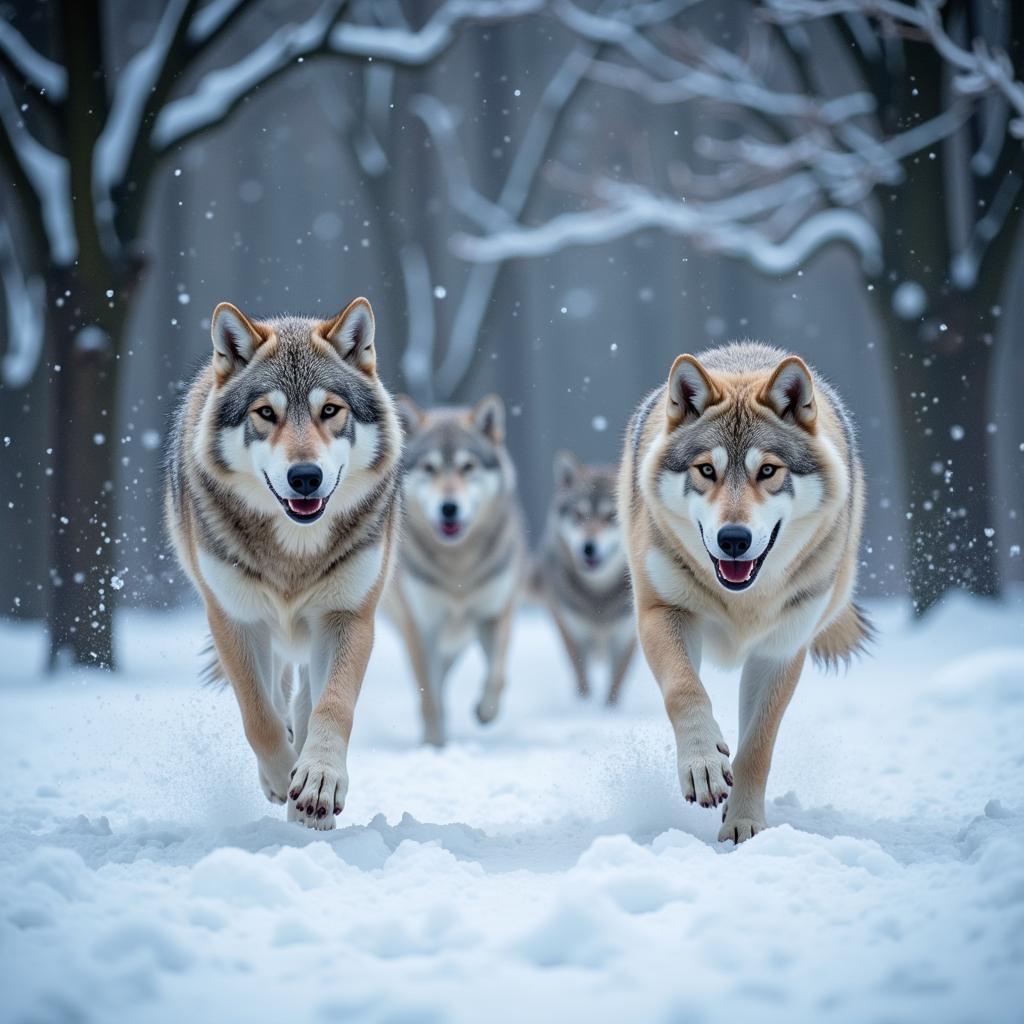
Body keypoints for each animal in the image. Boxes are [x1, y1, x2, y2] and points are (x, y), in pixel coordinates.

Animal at [163, 296, 399, 831]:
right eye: (266, 413)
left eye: (330, 410)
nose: (305, 476)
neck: (295, 552)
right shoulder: (233, 618)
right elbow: (259, 716)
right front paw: (279, 777)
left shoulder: (349, 616)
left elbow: (332, 707)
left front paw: (317, 783)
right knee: (276, 694)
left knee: (306, 698)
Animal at [385, 395, 524, 749]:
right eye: (429, 468)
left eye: (467, 467)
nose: (449, 508)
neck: (457, 570)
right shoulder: (422, 626)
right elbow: (429, 696)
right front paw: (434, 746)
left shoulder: (495, 613)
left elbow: (498, 674)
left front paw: (485, 711)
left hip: (456, 642)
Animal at [532, 452, 634, 708]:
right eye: (578, 515)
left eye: (611, 516)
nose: (588, 547)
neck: (598, 596)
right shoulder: (572, 630)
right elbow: (581, 677)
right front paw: (584, 706)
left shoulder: (626, 635)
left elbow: (617, 682)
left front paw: (610, 710)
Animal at [614, 339, 872, 843]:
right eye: (706, 470)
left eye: (768, 470)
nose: (734, 539)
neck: (741, 600)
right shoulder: (661, 612)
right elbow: (685, 690)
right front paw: (703, 766)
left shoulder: (781, 649)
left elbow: (758, 746)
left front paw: (745, 825)